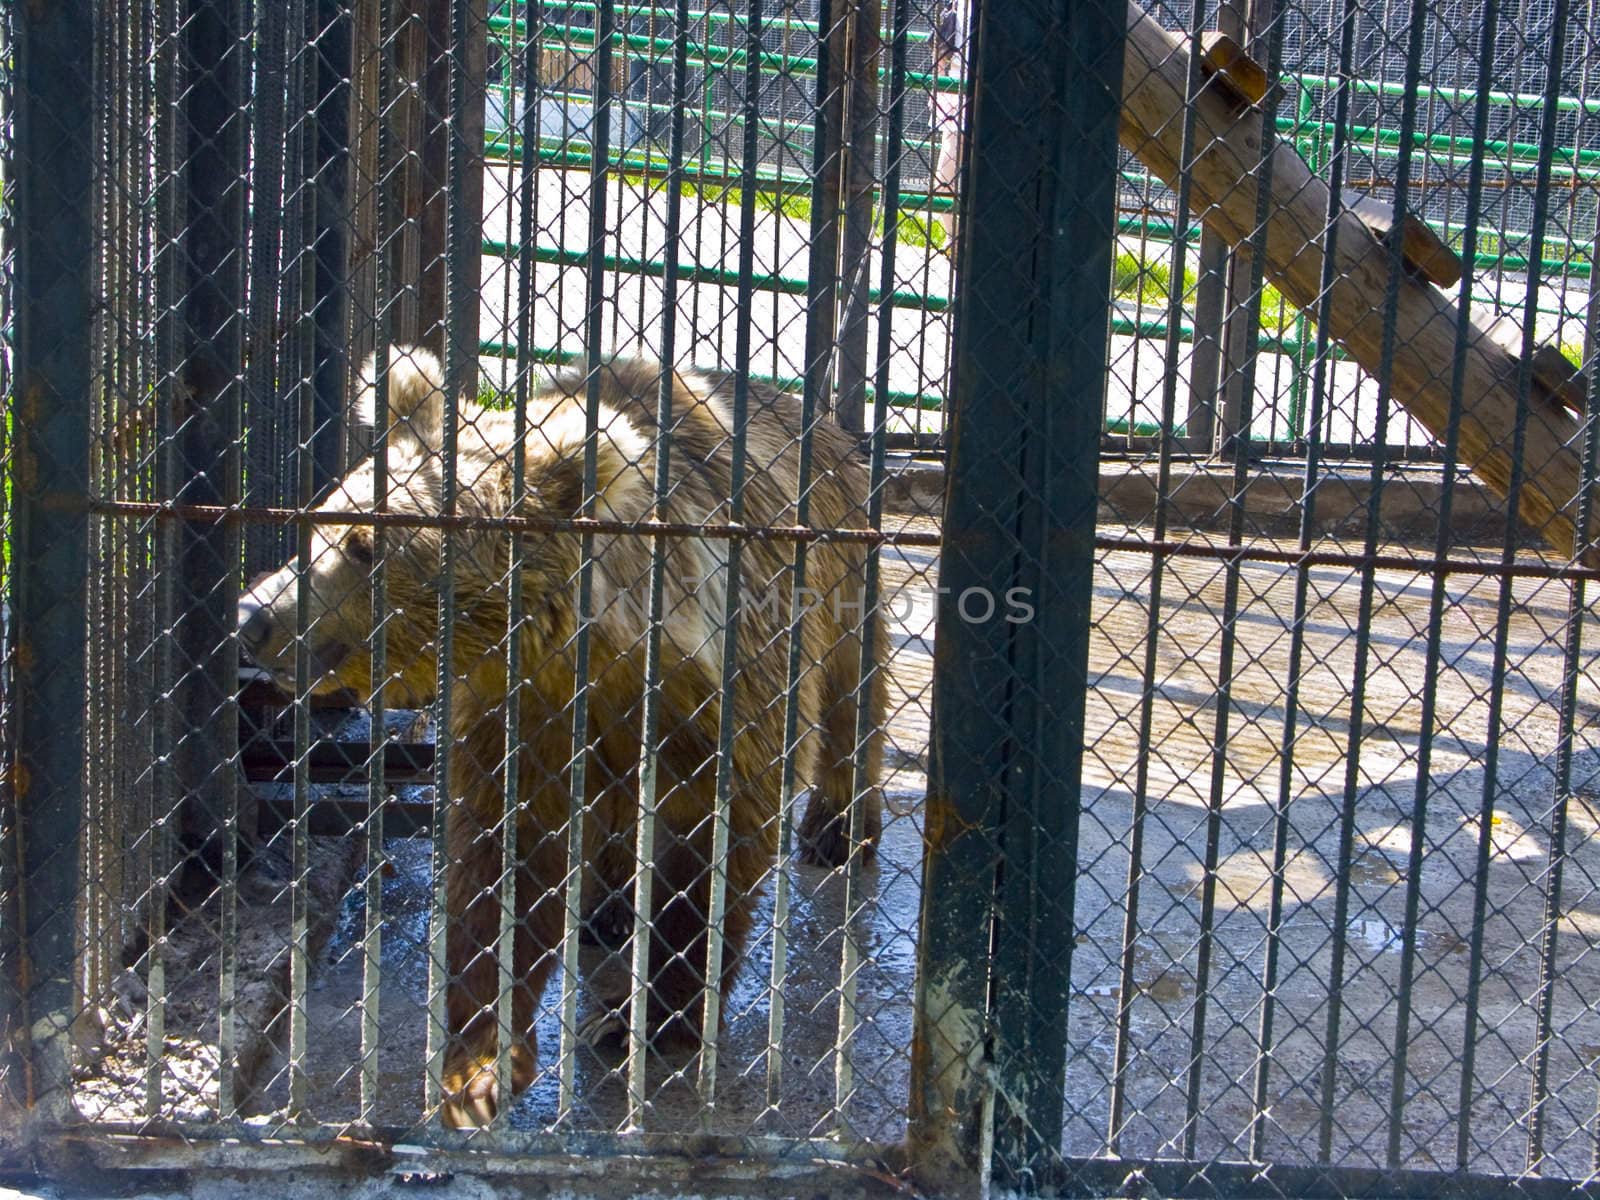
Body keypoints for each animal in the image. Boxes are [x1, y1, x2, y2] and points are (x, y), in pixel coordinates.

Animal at [236, 345, 889, 1126]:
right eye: (323, 523)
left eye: (366, 547)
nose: (253, 613)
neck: (595, 647)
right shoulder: (520, 710)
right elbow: (504, 864)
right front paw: (479, 1067)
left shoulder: (721, 691)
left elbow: (710, 848)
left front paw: (650, 1019)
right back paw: (605, 911)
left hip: (839, 580)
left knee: (854, 701)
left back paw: (836, 827)